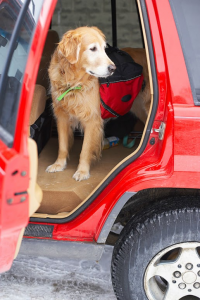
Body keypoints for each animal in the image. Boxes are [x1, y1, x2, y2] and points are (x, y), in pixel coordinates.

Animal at [46, 27, 115, 180]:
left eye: (104, 49)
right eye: (93, 49)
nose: (113, 68)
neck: (73, 83)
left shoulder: (92, 120)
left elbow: (85, 150)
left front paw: (82, 171)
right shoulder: (61, 116)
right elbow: (62, 145)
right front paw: (59, 164)